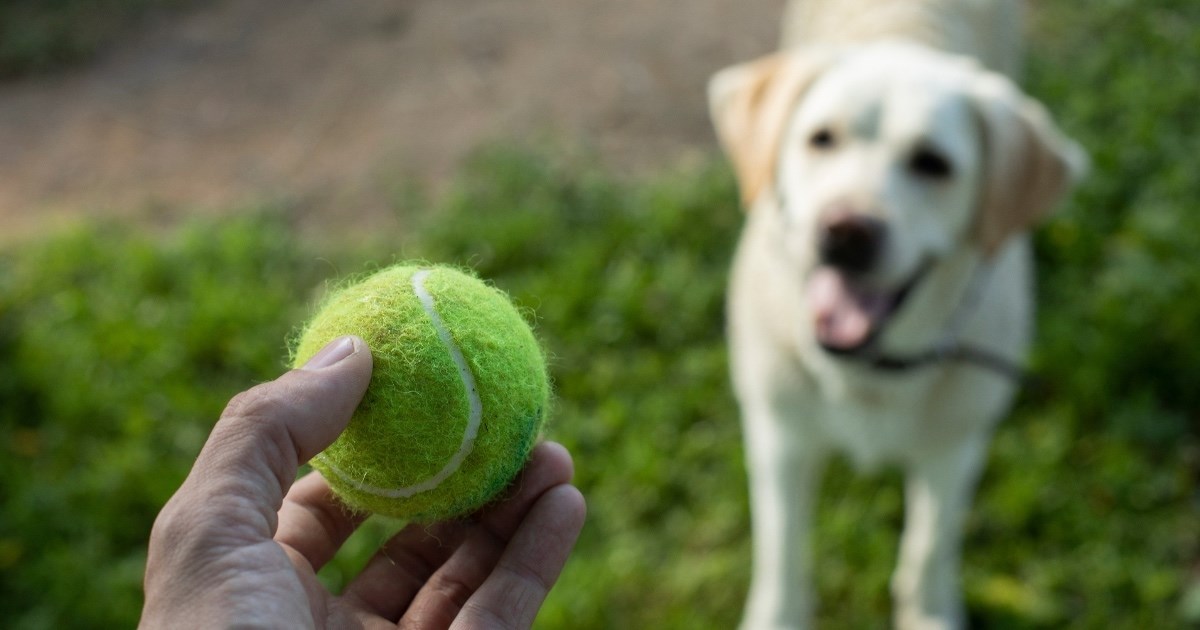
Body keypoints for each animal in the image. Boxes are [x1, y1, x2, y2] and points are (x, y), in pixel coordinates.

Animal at [700, 2, 1089, 624]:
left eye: (932, 163)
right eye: (821, 139)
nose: (845, 231)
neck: (870, 369)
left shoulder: (955, 447)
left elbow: (930, 545)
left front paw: (929, 615)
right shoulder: (780, 433)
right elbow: (782, 548)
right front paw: (779, 617)